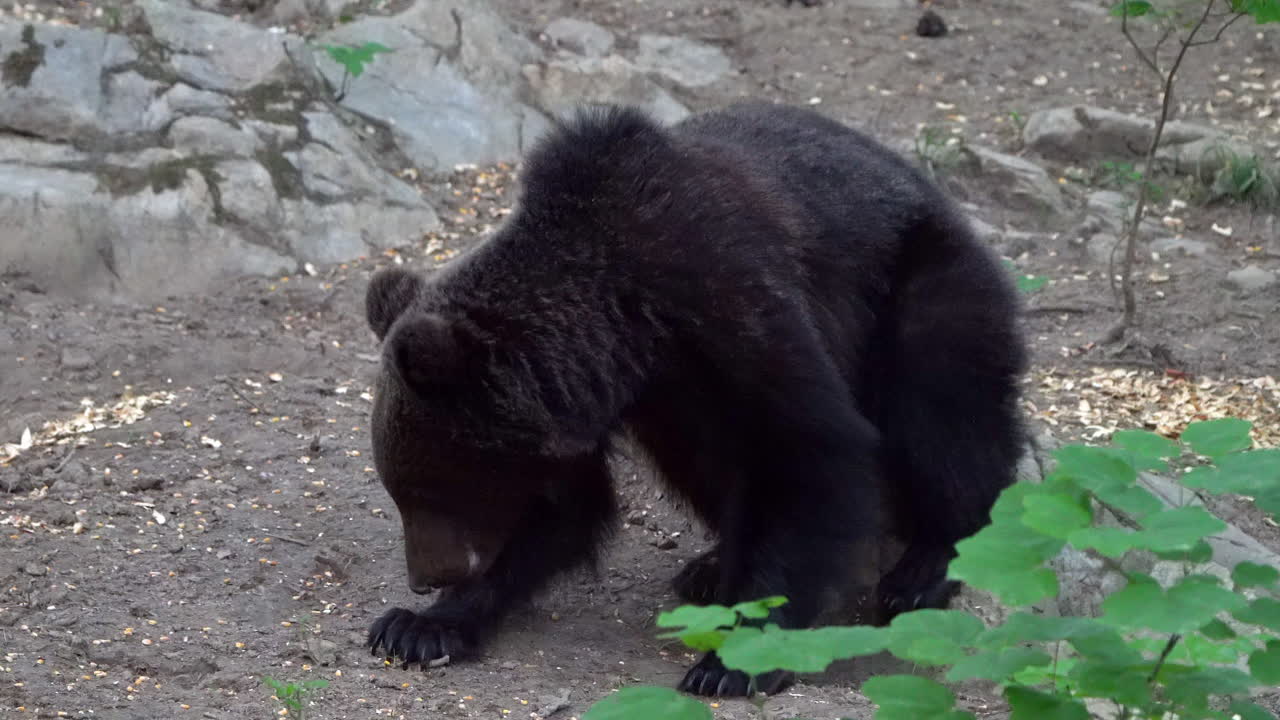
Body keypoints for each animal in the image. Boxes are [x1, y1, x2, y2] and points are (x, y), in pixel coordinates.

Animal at [363, 101, 1027, 698]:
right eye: (399, 490)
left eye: (429, 488)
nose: (425, 577)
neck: (629, 324)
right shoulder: (597, 400)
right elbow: (566, 508)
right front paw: (419, 627)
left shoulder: (732, 297)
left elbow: (808, 451)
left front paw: (733, 662)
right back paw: (709, 568)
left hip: (920, 280)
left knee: (942, 409)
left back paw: (923, 567)